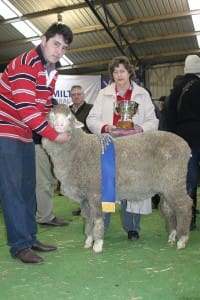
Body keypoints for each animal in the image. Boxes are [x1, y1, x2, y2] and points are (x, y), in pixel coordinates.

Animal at [41, 105, 192, 253]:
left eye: (69, 118)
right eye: (52, 116)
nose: (59, 125)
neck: (78, 149)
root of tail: (185, 146)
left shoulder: (96, 194)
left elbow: (97, 220)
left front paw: (97, 245)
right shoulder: (86, 198)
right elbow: (88, 220)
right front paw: (88, 241)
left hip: (174, 180)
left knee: (184, 206)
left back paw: (182, 240)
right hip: (165, 188)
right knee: (168, 208)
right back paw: (172, 236)